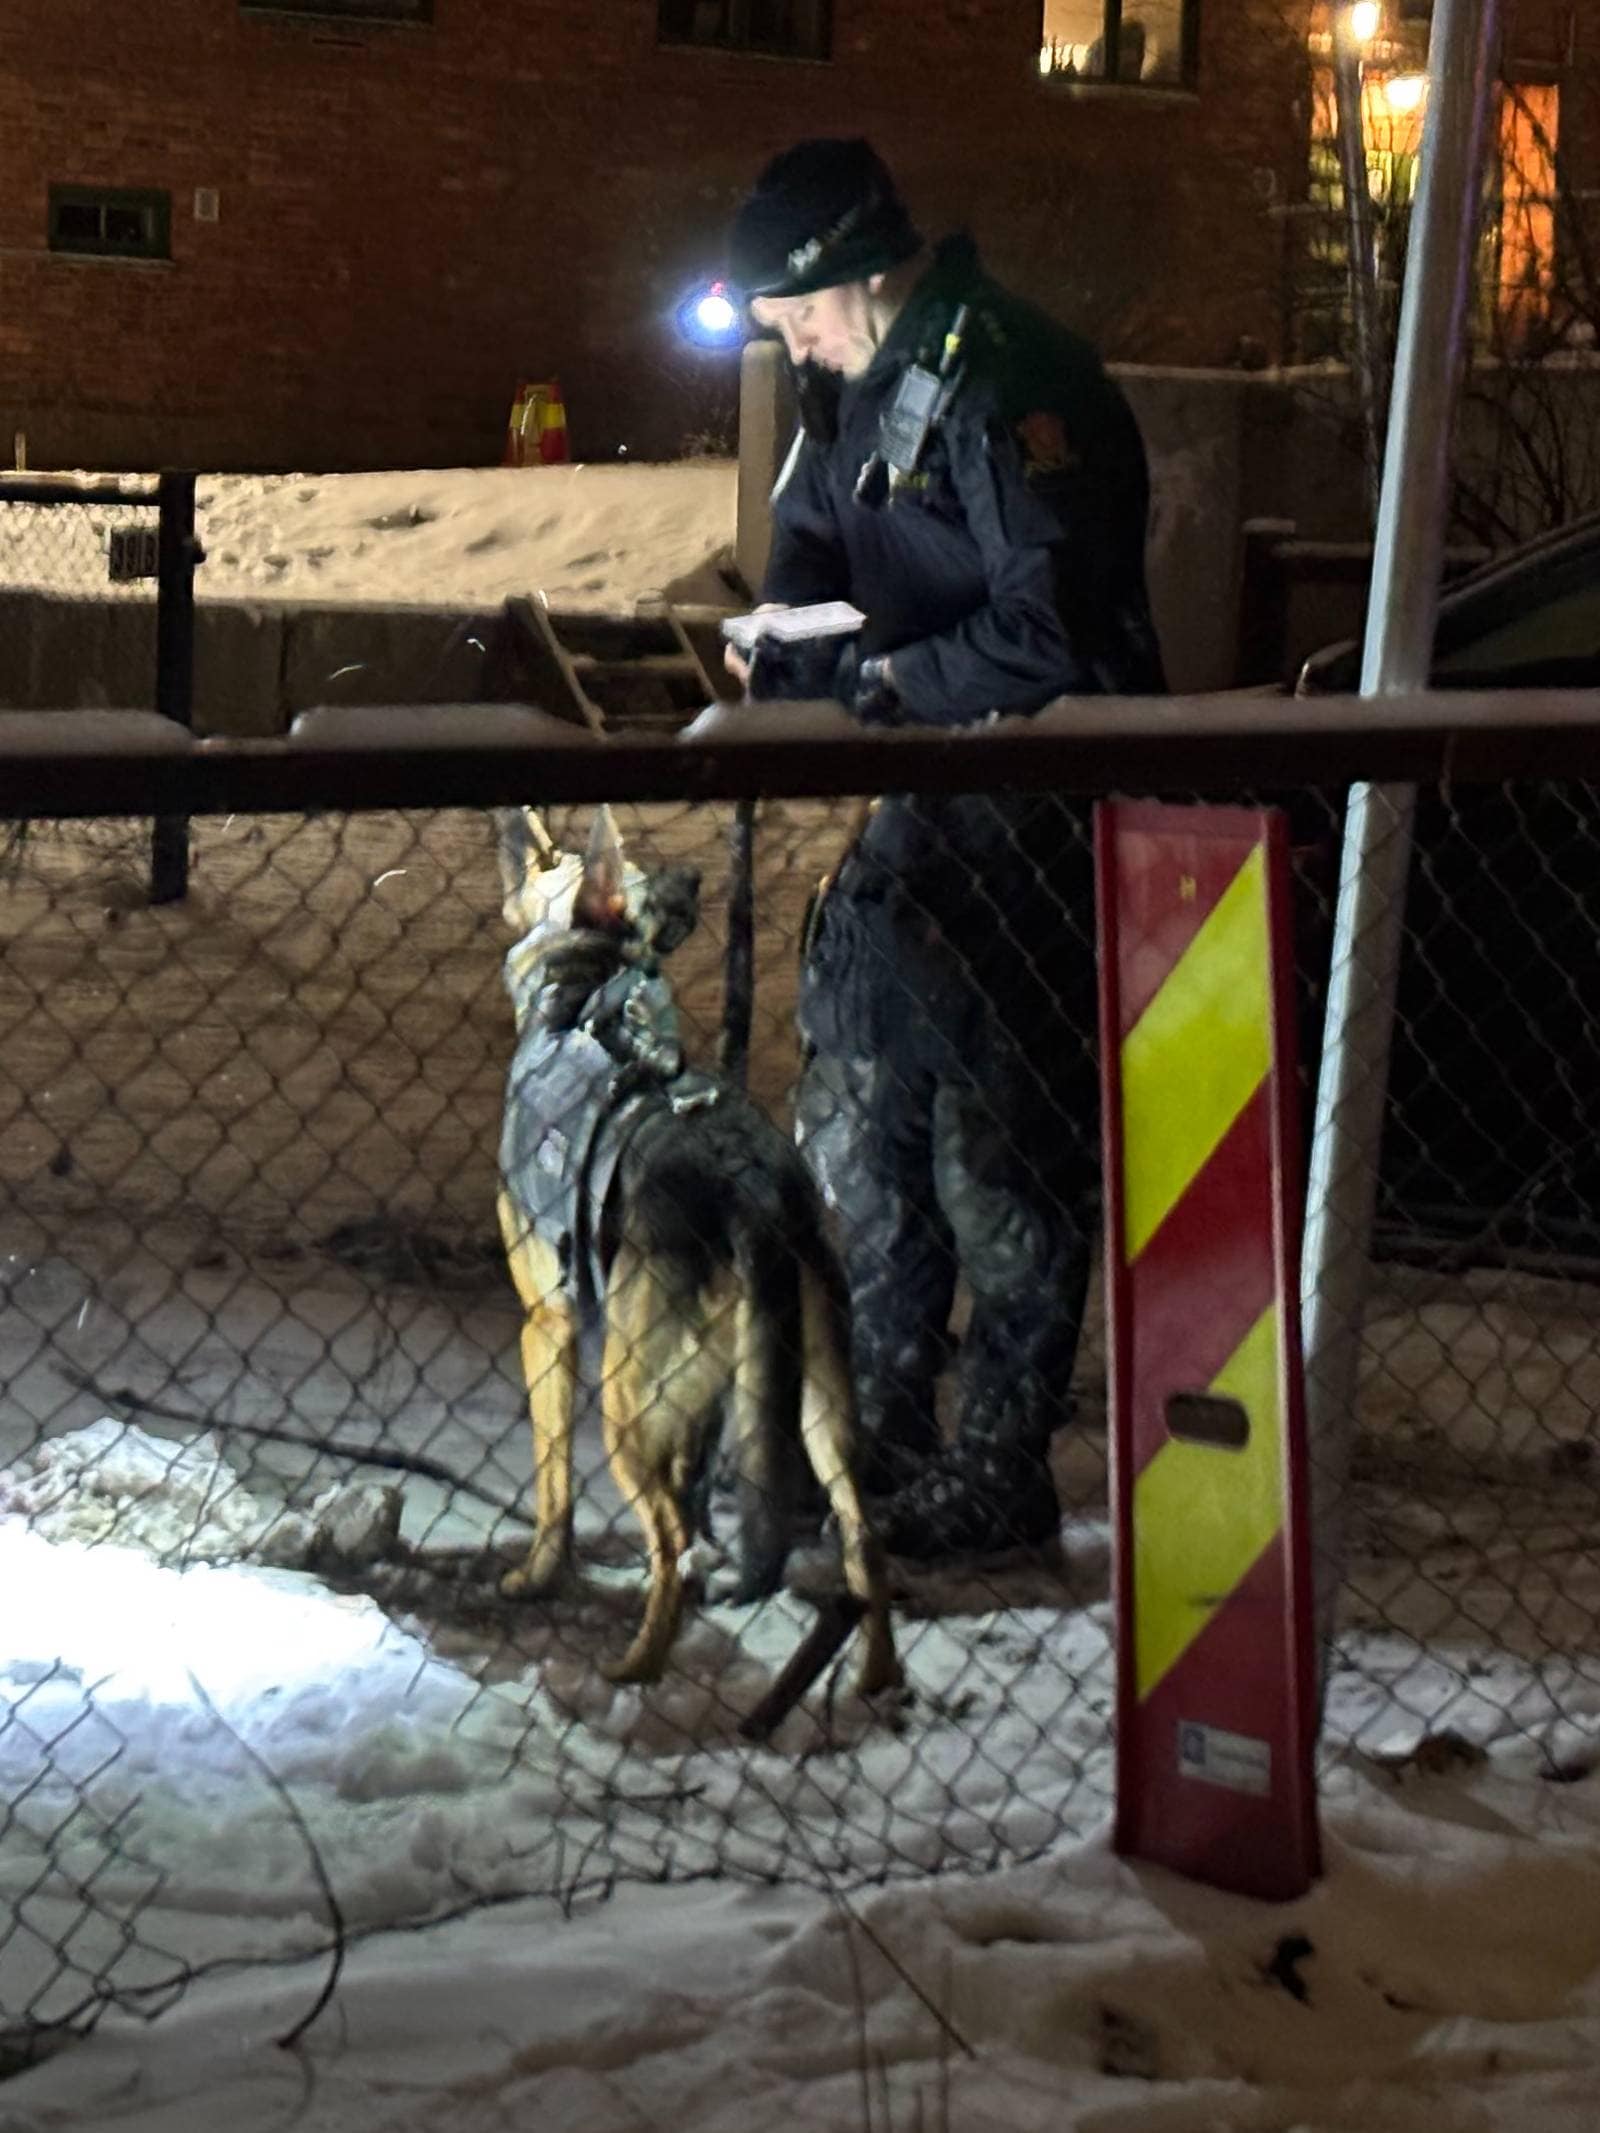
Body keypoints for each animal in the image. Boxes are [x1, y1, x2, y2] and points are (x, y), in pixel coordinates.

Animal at [499, 806, 904, 1689]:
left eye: (554, 861)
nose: (517, 829)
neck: (582, 987)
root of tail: (753, 1193)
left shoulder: (546, 1327)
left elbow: (553, 1490)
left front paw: (538, 1575)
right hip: (820, 1411)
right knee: (862, 1537)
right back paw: (875, 1681)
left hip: (624, 1405)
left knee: (671, 1536)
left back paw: (637, 1667)